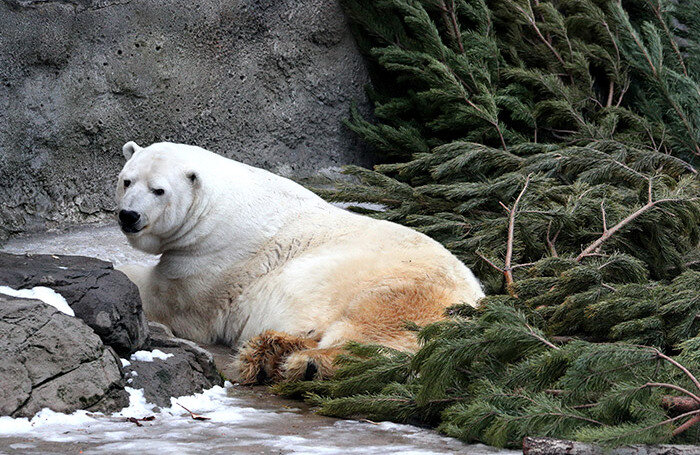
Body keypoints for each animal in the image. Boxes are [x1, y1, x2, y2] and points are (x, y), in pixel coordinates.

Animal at [116, 141, 486, 382]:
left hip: (406, 286)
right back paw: (272, 351)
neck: (213, 207)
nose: (128, 215)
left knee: (376, 327)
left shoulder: (215, 255)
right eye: (126, 181)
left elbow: (168, 298)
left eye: (159, 190)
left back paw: (304, 362)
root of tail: (480, 300)